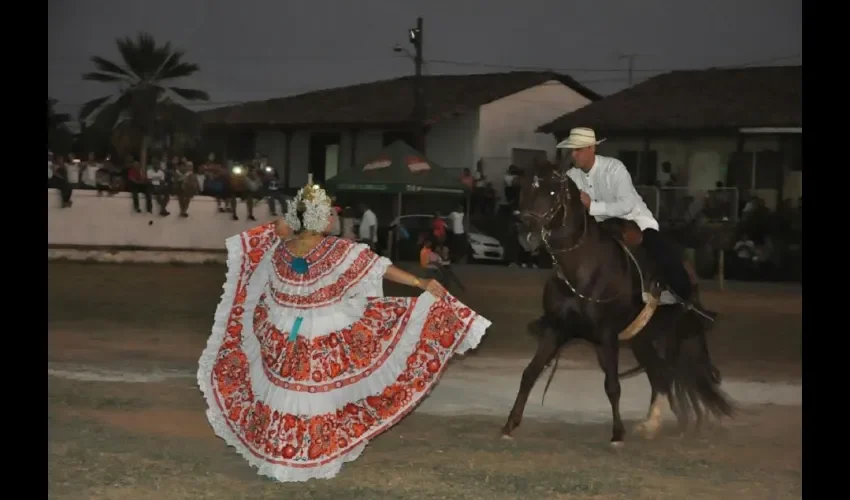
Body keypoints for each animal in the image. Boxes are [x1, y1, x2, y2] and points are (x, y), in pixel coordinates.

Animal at [500, 161, 732, 446]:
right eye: (523, 188)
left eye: (553, 193)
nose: (527, 234)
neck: (583, 268)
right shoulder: (556, 330)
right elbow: (529, 374)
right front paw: (510, 425)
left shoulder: (607, 335)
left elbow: (612, 385)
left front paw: (617, 434)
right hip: (641, 339)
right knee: (659, 374)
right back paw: (650, 425)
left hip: (671, 336)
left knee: (666, 373)